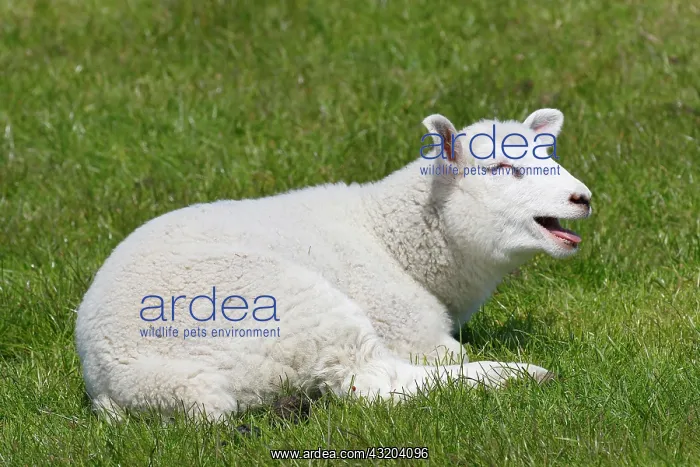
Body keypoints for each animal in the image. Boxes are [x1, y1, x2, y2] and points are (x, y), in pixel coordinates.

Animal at [75, 108, 592, 420]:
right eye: (500, 169)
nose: (582, 198)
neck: (394, 239)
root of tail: (125, 381)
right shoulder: (408, 327)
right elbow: (440, 356)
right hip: (291, 306)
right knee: (374, 383)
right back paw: (514, 375)